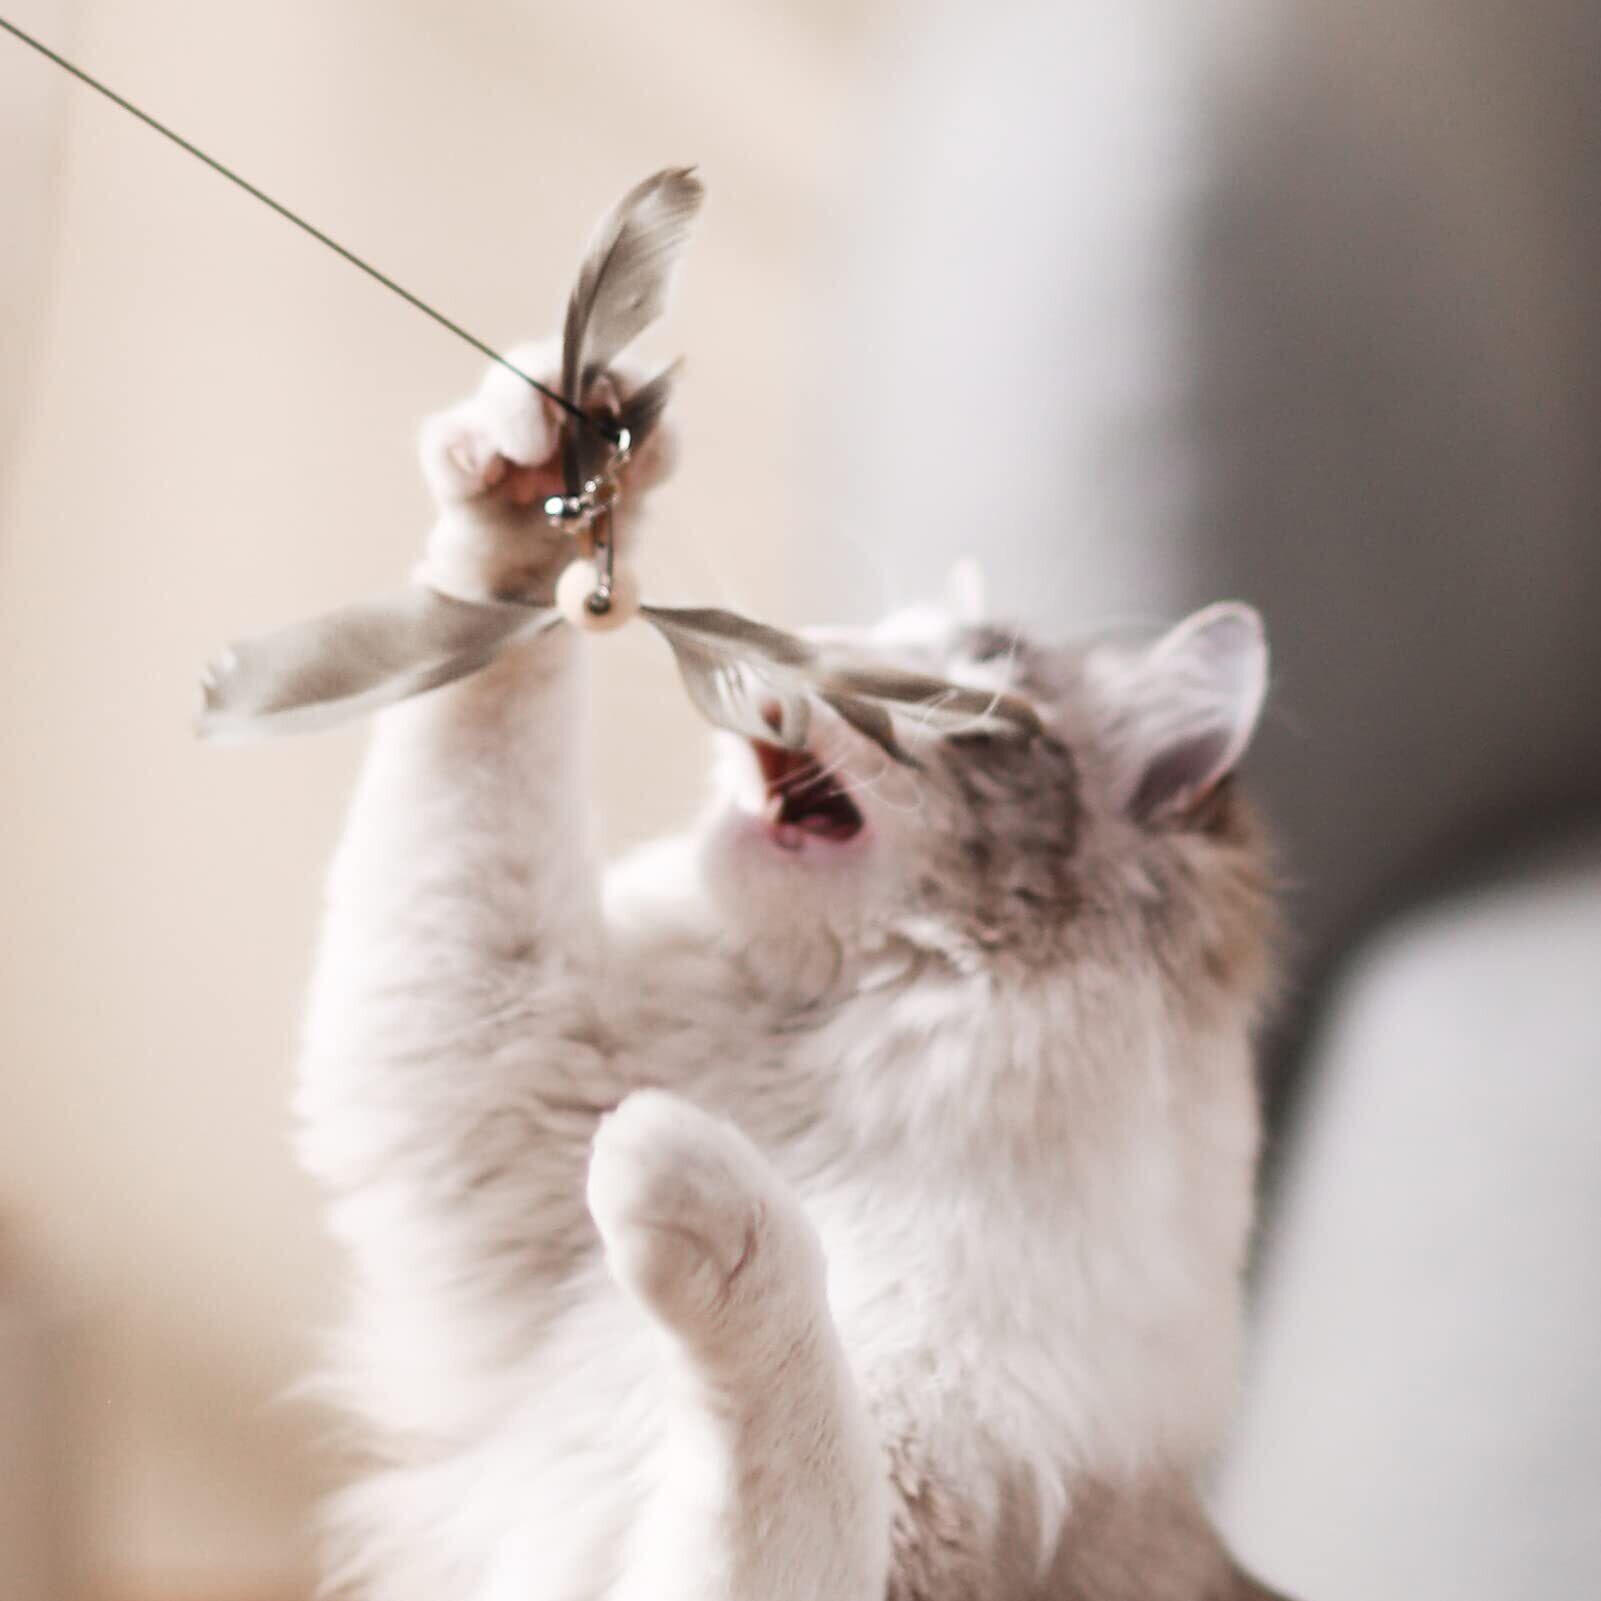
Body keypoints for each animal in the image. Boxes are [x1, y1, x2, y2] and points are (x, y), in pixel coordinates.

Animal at [295, 338, 1292, 1601]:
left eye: (964, 681)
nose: (792, 644)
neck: (835, 1068)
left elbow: (797, 1381)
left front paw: (670, 1158)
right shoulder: (479, 1027)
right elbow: (486, 699)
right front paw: (543, 453)